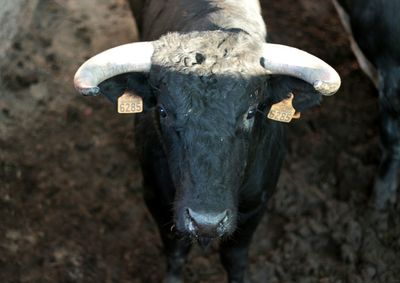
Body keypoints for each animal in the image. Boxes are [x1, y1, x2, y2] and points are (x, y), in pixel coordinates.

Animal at [73, 1, 340, 282]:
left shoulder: (256, 205)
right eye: (163, 111)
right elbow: (176, 252)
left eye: (250, 112)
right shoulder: (157, 200)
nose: (206, 222)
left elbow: (234, 257)